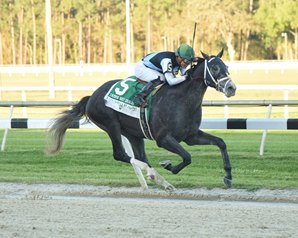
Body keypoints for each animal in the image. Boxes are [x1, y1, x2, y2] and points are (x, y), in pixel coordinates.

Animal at [47, 49, 236, 192]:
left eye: (226, 66)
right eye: (214, 67)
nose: (231, 88)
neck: (182, 100)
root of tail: (92, 96)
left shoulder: (191, 136)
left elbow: (221, 142)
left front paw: (228, 176)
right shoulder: (163, 138)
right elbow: (187, 157)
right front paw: (168, 165)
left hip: (134, 134)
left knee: (140, 156)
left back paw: (159, 180)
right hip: (111, 125)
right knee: (121, 154)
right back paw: (155, 176)